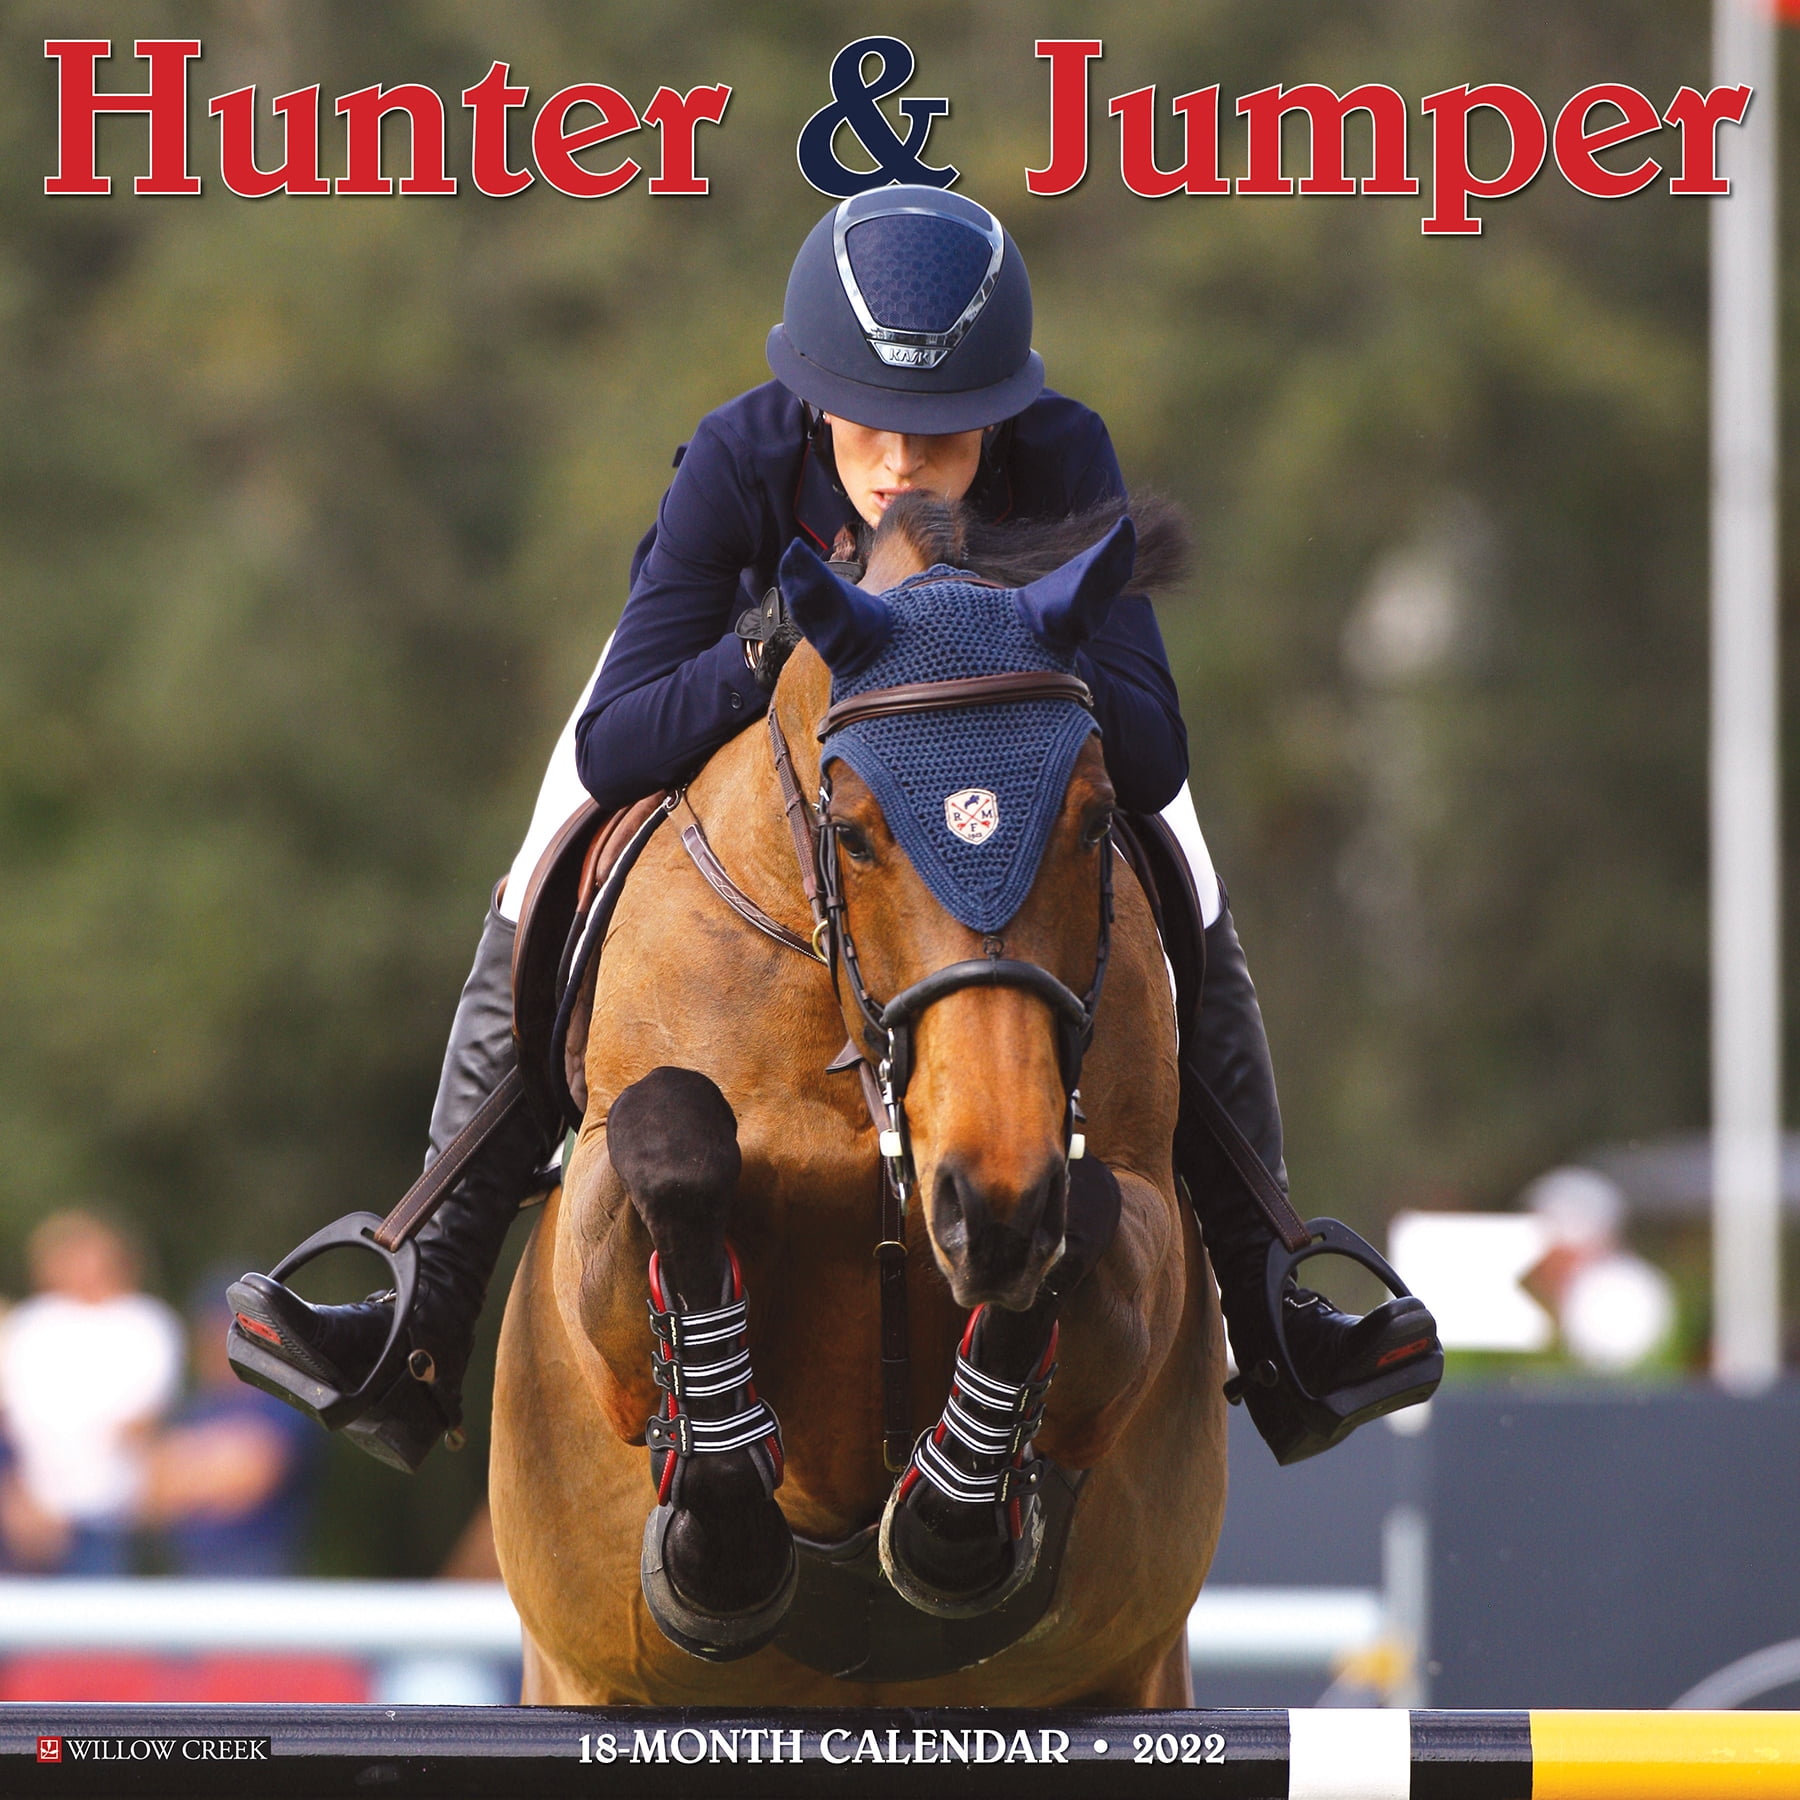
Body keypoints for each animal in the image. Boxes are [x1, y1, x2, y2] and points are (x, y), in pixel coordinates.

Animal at [489, 495, 1228, 1707]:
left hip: (1134, 1675)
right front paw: (724, 1540)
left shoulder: (1133, 1232)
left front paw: (952, 1515)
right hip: (579, 1681)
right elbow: (673, 1142)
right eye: (853, 833)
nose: (988, 1197)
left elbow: (1084, 1219)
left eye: (1094, 819)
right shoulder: (599, 1251)